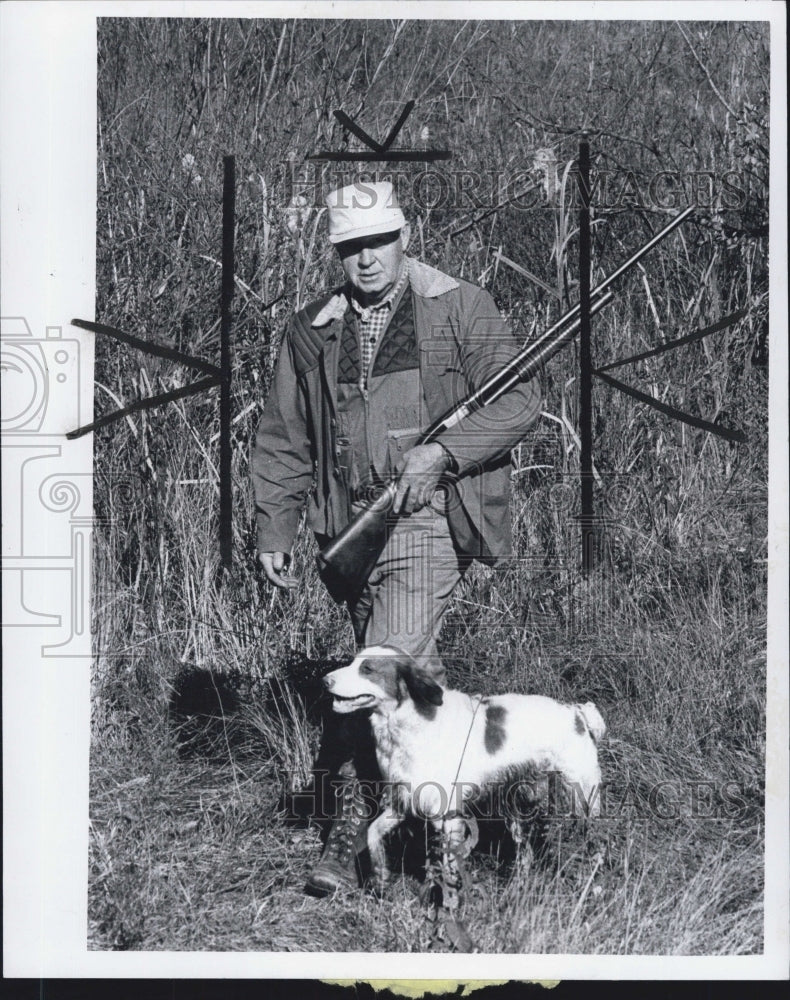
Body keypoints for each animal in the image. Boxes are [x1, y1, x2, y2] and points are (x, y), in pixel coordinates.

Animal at [324, 644, 608, 888]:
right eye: (353, 662)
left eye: (367, 668)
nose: (325, 680)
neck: (407, 722)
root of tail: (577, 712)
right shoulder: (402, 798)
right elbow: (373, 832)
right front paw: (381, 874)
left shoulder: (445, 811)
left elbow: (448, 863)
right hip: (518, 803)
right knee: (525, 851)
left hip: (581, 797)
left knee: (596, 842)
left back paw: (592, 884)